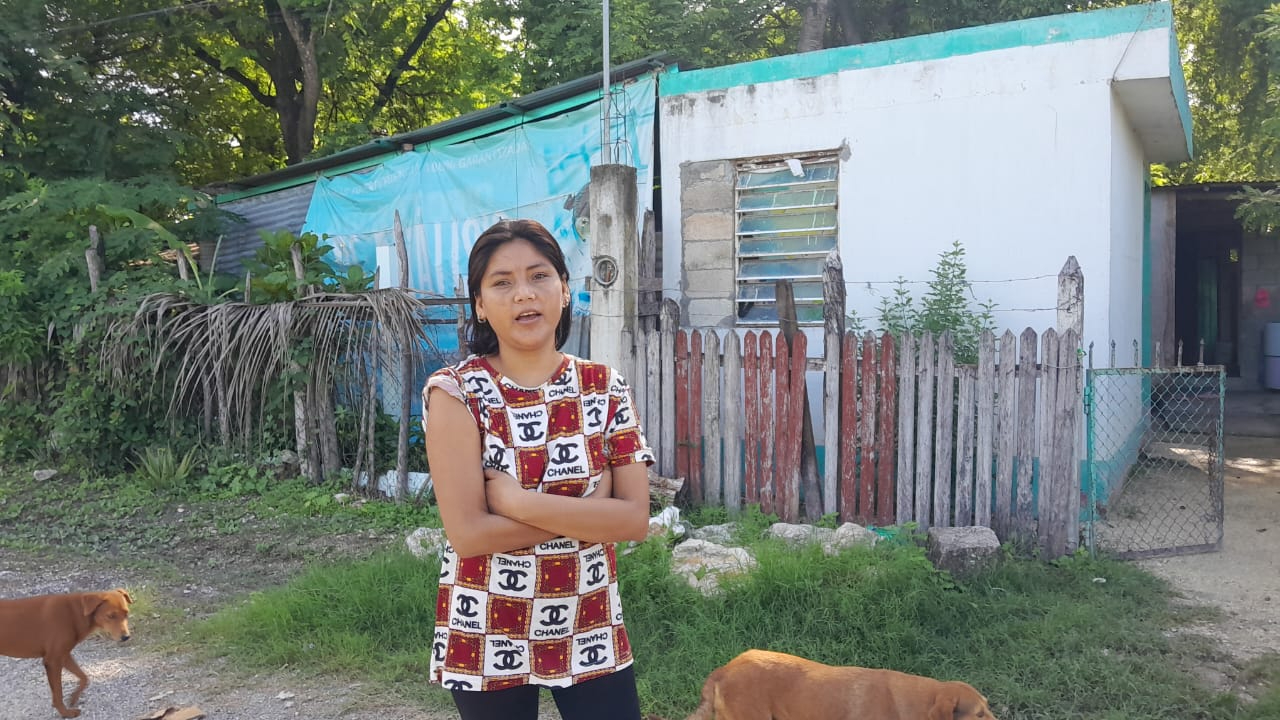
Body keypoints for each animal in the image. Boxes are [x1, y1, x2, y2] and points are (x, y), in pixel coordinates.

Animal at [0, 586, 135, 712]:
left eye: (126, 613)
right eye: (111, 616)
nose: (126, 637)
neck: (75, 613)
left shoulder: (63, 656)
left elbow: (84, 678)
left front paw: (73, 698)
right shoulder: (53, 661)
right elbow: (58, 693)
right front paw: (65, 713)